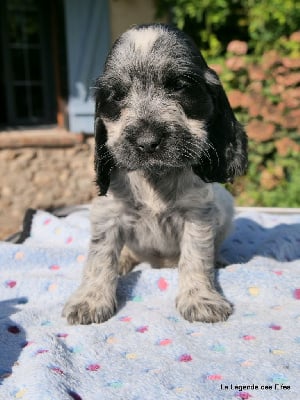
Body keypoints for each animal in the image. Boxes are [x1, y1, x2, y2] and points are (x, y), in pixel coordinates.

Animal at [62, 23, 247, 324]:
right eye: (116, 95)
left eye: (180, 86)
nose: (147, 141)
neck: (155, 177)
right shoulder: (107, 213)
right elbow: (100, 258)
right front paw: (90, 299)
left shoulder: (198, 214)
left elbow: (196, 257)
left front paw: (200, 298)